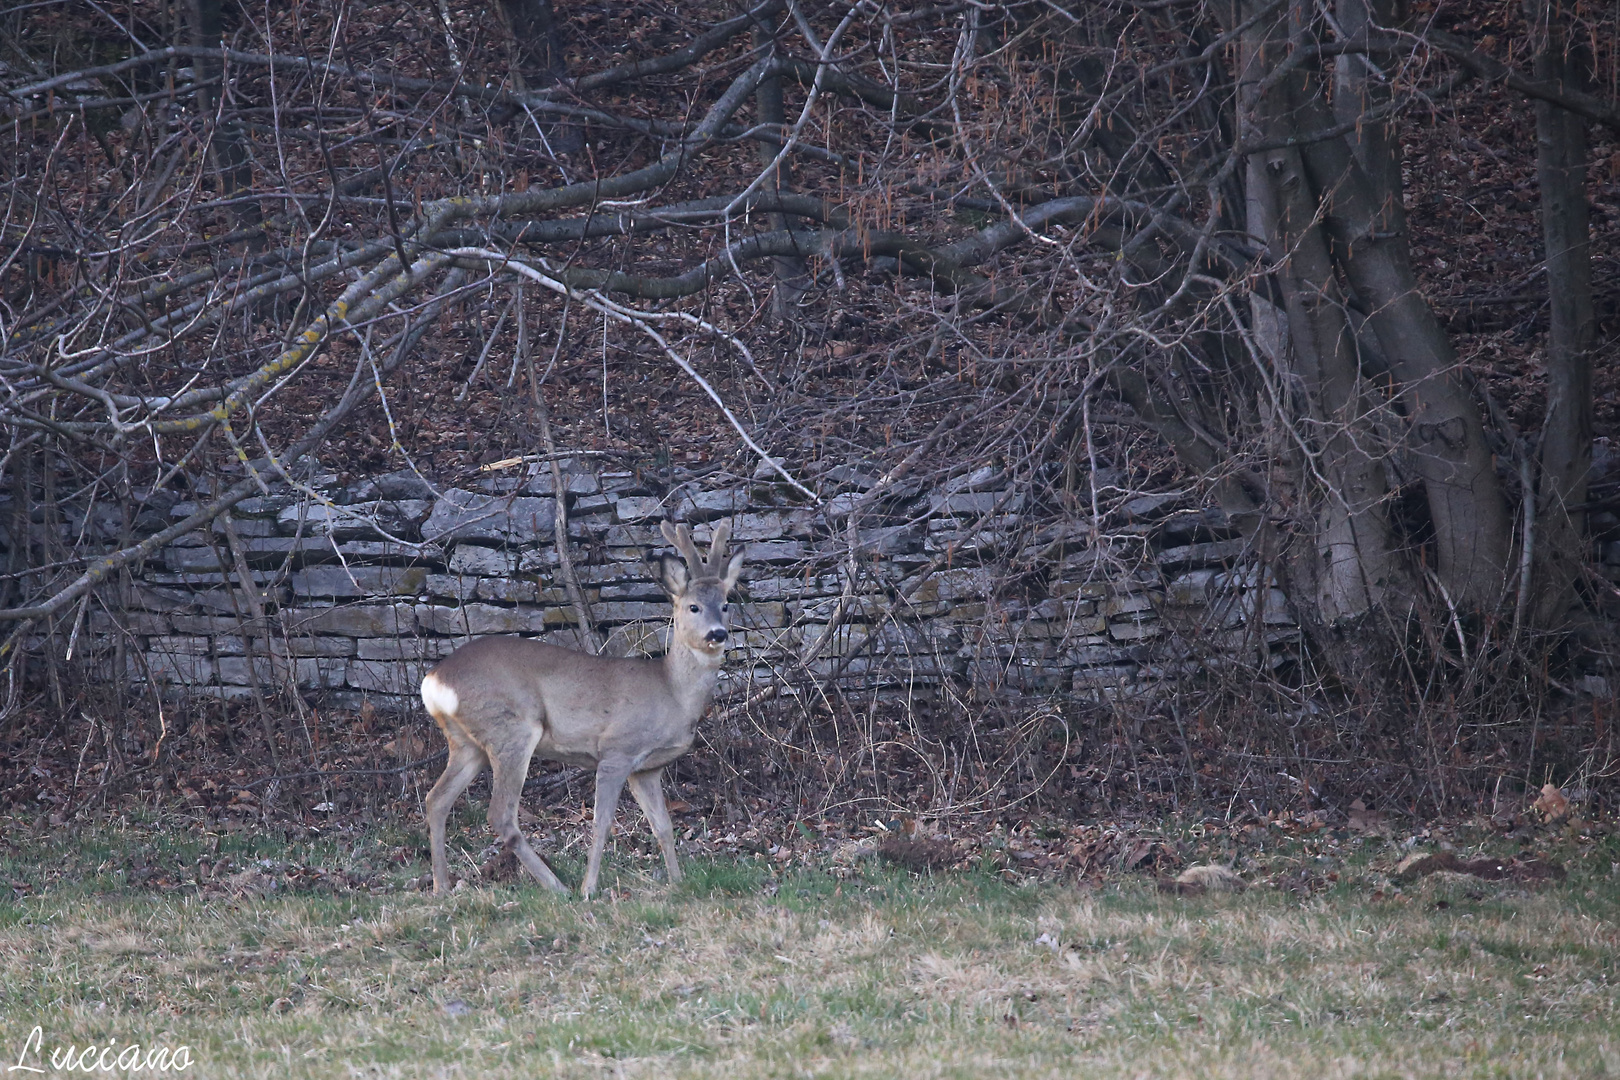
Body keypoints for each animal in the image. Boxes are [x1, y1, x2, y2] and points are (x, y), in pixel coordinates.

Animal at [421, 518, 741, 900]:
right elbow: (602, 823)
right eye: (693, 607)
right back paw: (559, 887)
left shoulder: (647, 768)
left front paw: (678, 882)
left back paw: (440, 887)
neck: (671, 692)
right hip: (511, 728)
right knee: (499, 814)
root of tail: (434, 680)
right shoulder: (617, 750)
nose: (718, 634)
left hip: (467, 742)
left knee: (437, 799)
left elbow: (663, 826)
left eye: (726, 604)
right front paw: (590, 888)